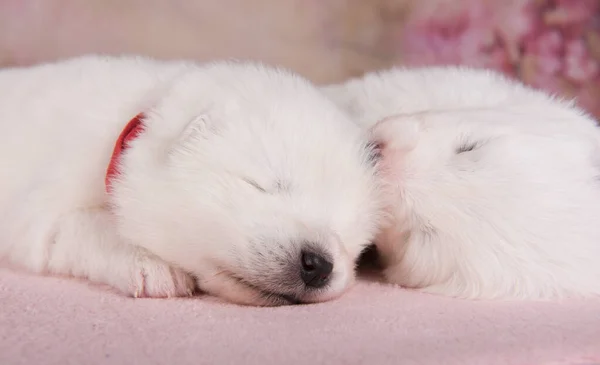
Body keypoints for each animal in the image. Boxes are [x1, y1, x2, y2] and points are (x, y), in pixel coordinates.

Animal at [0, 54, 384, 304]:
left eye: (351, 235)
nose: (319, 265)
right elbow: (88, 225)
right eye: (262, 184)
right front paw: (153, 266)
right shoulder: (38, 213)